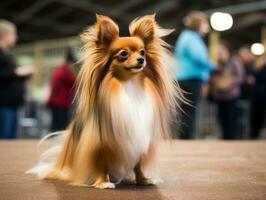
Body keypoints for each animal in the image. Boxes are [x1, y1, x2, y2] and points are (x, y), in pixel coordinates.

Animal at [28, 14, 183, 189]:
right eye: (123, 54)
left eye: (143, 52)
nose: (141, 59)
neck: (129, 85)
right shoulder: (100, 145)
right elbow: (101, 164)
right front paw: (103, 182)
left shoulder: (140, 142)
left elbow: (138, 164)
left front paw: (143, 179)